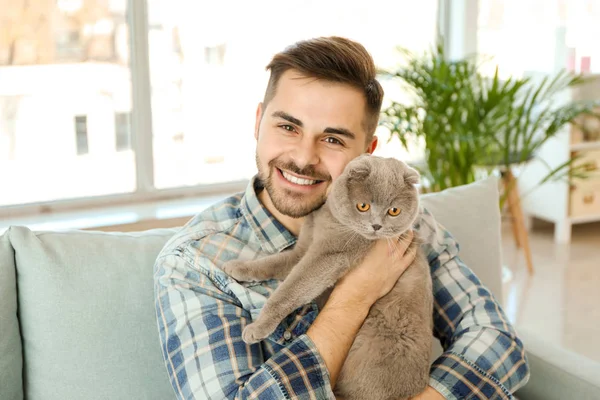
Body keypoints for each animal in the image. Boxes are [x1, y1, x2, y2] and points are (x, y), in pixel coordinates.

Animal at [223, 154, 434, 400]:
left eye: (394, 211)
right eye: (363, 206)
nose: (376, 226)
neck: (328, 217)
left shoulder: (330, 256)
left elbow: (289, 289)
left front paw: (257, 327)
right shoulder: (302, 251)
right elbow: (273, 263)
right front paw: (237, 267)